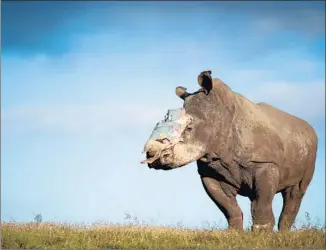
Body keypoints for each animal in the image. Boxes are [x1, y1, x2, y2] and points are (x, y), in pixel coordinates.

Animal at [141, 69, 318, 231]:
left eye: (189, 128)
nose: (152, 154)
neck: (218, 115)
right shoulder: (209, 171)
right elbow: (228, 207)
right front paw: (233, 232)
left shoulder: (265, 163)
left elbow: (262, 201)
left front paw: (262, 233)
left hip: (310, 147)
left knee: (295, 192)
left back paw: (283, 233)